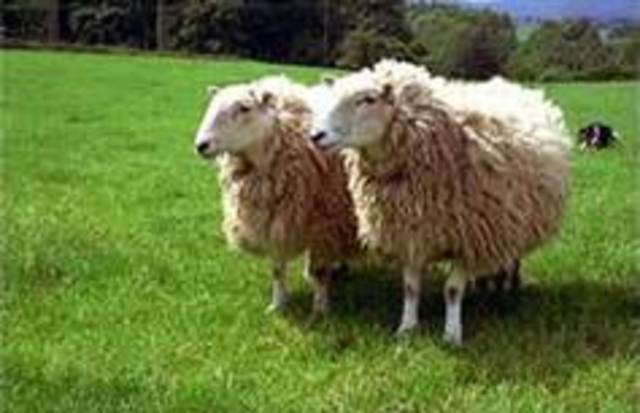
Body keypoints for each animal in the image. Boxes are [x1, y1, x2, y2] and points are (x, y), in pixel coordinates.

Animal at [194, 76, 359, 316]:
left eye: (244, 108)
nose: (201, 145)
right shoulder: (274, 221)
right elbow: (277, 269)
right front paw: (277, 305)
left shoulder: (324, 224)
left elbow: (319, 271)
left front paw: (320, 311)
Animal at [310, 60, 571, 345]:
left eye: (367, 99)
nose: (315, 135)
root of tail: (511, 85)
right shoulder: (410, 233)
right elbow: (411, 289)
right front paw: (407, 328)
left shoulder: (468, 236)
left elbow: (453, 291)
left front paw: (452, 335)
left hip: (509, 221)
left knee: (511, 260)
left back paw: (506, 292)